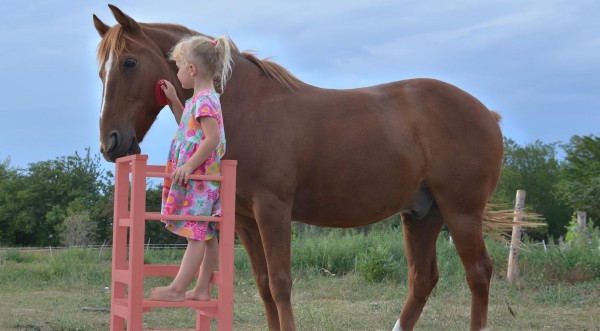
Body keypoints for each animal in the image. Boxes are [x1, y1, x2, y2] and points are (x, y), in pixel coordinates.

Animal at [95, 4, 506, 330]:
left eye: (129, 62)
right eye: (102, 72)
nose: (111, 144)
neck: (246, 106)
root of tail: (486, 113)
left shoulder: (273, 209)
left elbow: (280, 283)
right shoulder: (245, 220)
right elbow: (263, 285)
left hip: (460, 211)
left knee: (478, 273)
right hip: (422, 214)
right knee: (422, 279)